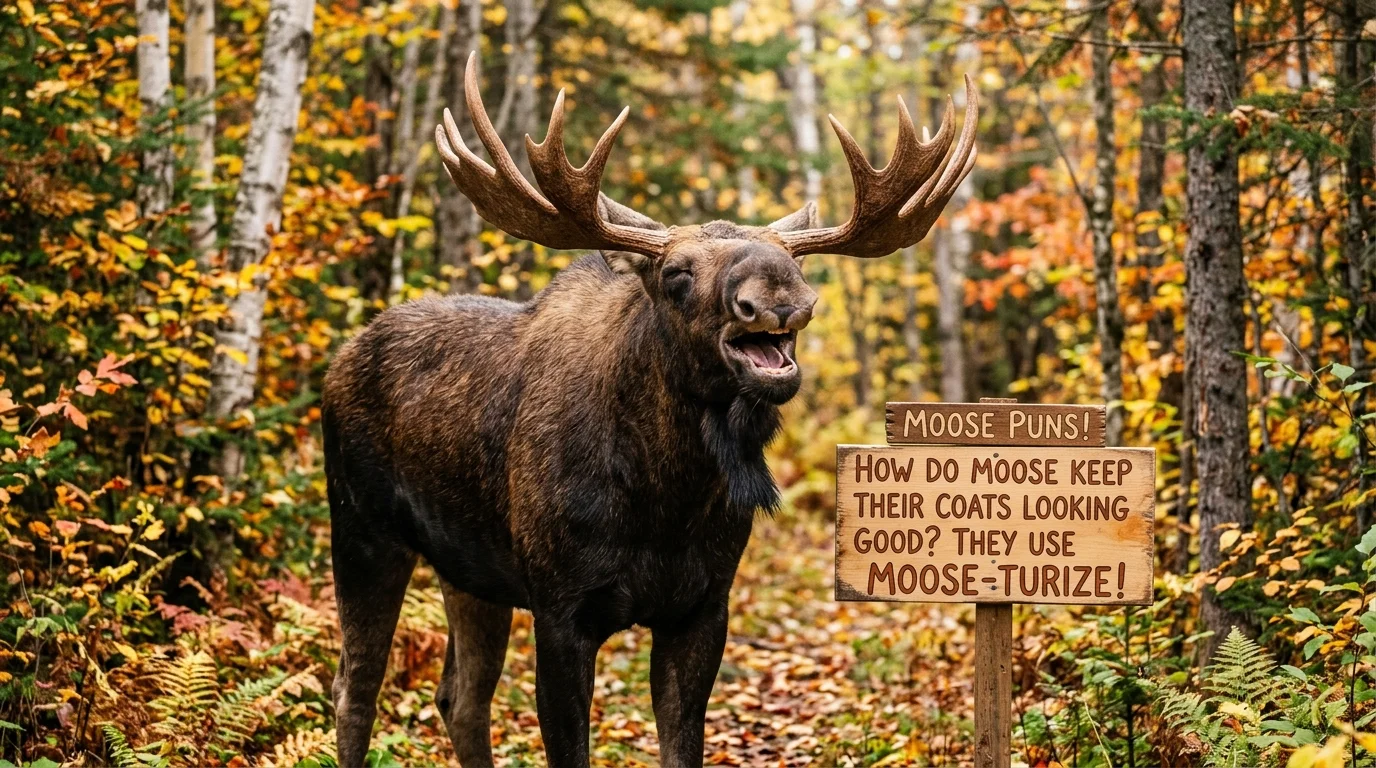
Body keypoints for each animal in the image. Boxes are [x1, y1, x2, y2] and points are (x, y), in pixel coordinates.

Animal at [324, 53, 977, 768]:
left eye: (794, 259)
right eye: (676, 273)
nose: (780, 293)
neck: (664, 498)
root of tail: (338, 359)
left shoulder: (703, 605)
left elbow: (682, 744)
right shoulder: (561, 609)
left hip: (468, 570)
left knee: (460, 698)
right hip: (361, 531)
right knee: (355, 690)